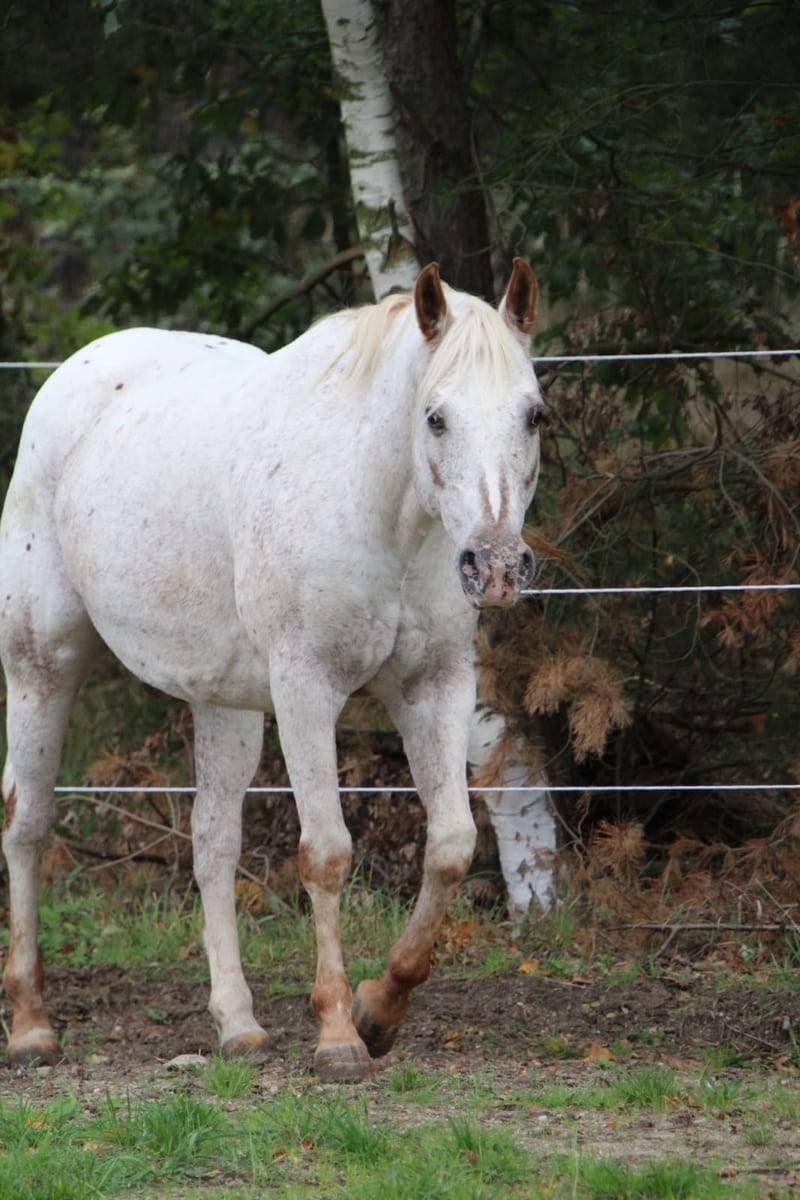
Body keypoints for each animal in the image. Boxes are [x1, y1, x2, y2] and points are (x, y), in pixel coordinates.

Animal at [0, 258, 544, 1084]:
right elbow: (326, 852)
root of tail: (72, 376)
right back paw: (32, 1023)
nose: (498, 567)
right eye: (436, 417)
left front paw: (380, 1010)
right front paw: (338, 1034)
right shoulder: (306, 690)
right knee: (26, 826)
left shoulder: (436, 687)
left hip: (223, 703)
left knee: (212, 842)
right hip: (41, 667)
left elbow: (451, 845)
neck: (382, 512)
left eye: (534, 416)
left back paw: (239, 1025)